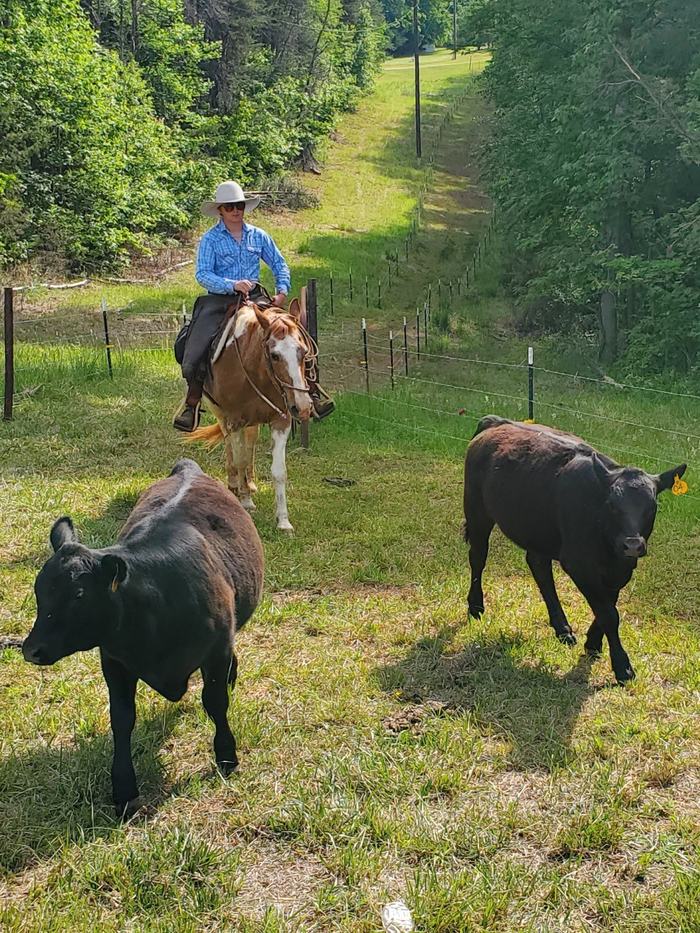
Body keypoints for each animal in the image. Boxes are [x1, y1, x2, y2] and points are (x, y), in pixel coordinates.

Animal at [22, 459, 264, 816]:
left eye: (79, 595)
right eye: (39, 591)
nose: (31, 649)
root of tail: (187, 467)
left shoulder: (216, 649)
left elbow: (215, 701)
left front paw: (226, 756)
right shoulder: (114, 660)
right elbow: (122, 719)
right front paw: (124, 789)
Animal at [189, 294, 316, 533]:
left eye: (303, 352)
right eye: (274, 355)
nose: (302, 406)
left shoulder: (281, 420)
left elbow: (278, 470)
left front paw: (283, 520)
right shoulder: (235, 420)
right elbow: (238, 459)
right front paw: (245, 500)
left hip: (253, 422)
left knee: (250, 444)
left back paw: (250, 482)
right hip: (221, 415)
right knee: (230, 446)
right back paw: (234, 484)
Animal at [463, 415, 686, 684]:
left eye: (652, 506)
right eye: (612, 504)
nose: (632, 544)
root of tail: (497, 422)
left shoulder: (620, 567)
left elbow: (608, 606)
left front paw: (593, 643)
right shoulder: (579, 564)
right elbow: (609, 614)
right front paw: (623, 667)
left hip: (538, 528)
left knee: (539, 566)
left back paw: (562, 628)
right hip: (477, 511)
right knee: (478, 557)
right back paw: (476, 607)